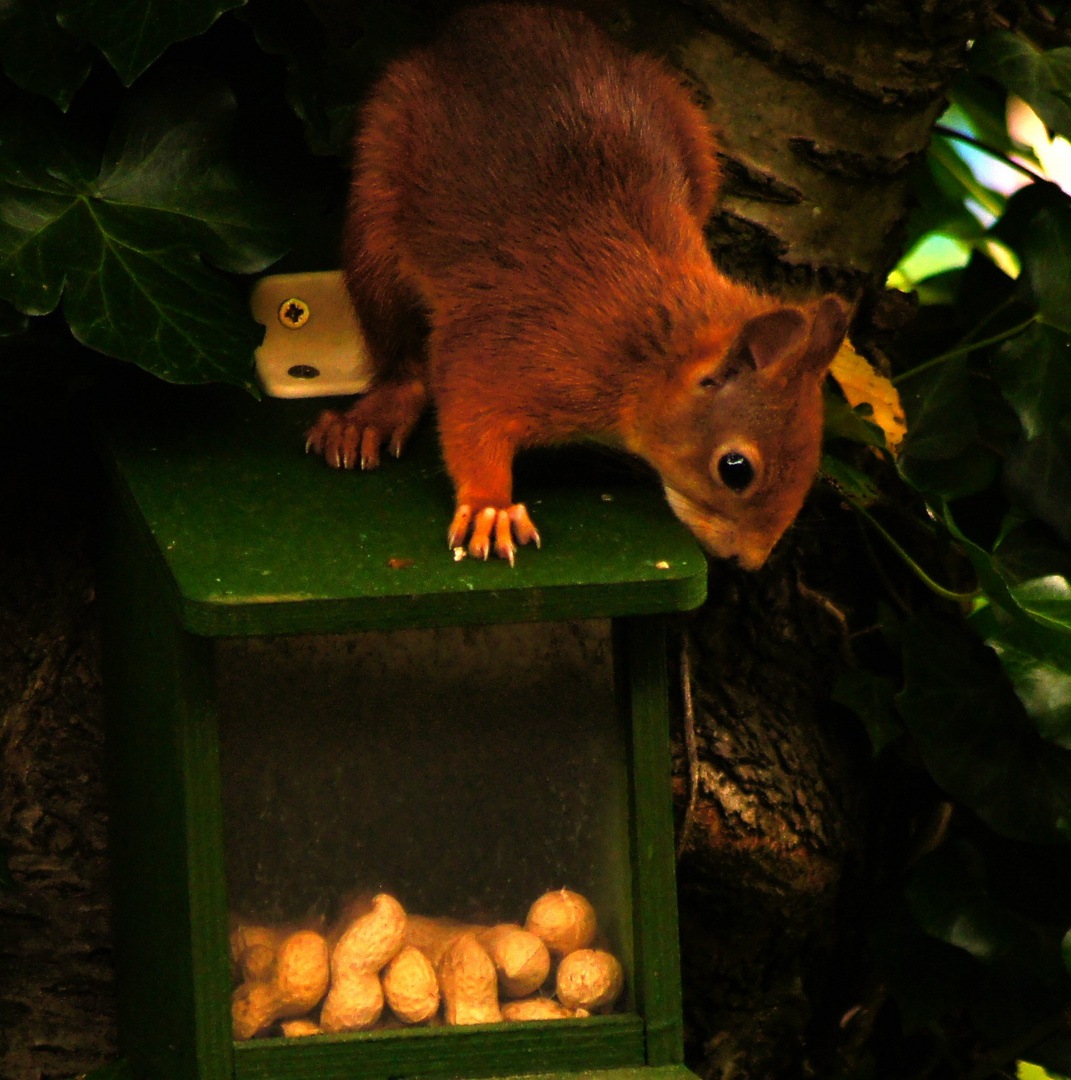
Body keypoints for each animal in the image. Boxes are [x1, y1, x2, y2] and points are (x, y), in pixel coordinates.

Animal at [304, 6, 850, 565]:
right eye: (735, 468)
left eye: (813, 456)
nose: (747, 562)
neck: (646, 349)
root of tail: (493, 20)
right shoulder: (507, 346)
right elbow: (469, 416)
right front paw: (489, 506)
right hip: (378, 192)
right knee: (400, 355)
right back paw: (370, 418)